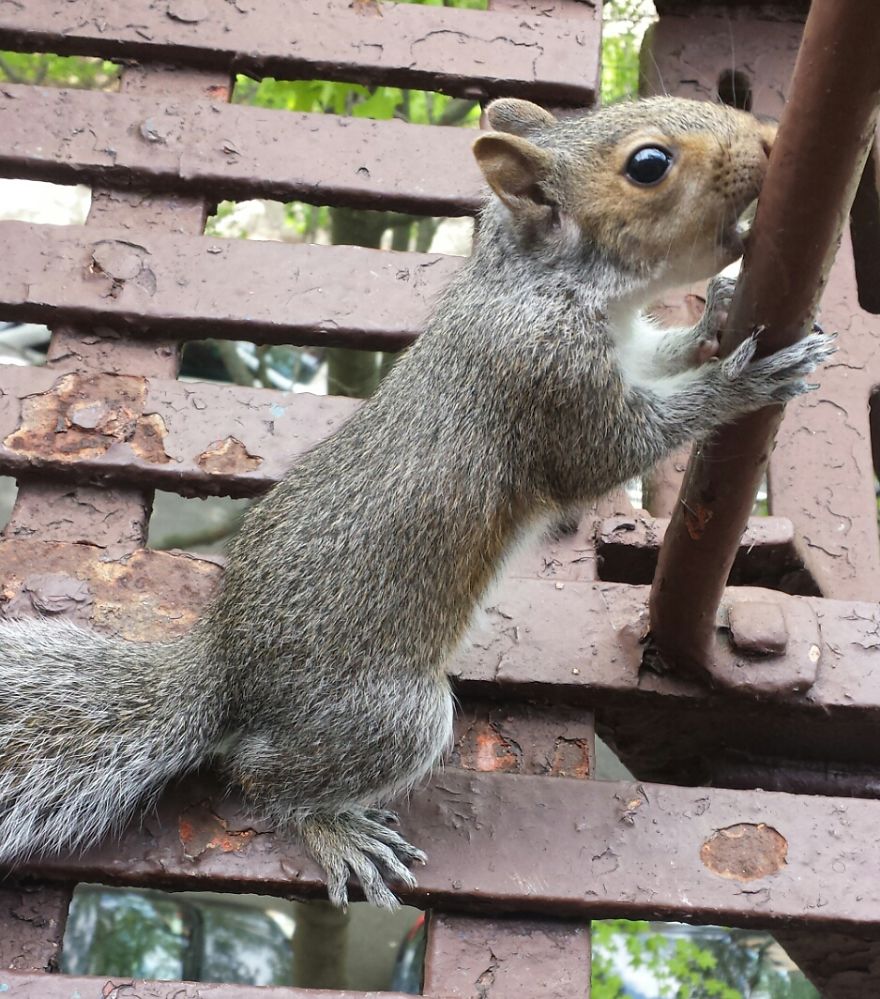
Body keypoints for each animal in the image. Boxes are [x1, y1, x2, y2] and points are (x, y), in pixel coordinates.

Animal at [0, 96, 833, 909]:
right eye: (649, 164)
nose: (767, 140)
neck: (541, 282)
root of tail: (226, 670)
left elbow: (663, 354)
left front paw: (716, 313)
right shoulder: (546, 378)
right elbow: (611, 452)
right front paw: (741, 380)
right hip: (390, 715)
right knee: (262, 774)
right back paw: (334, 828)